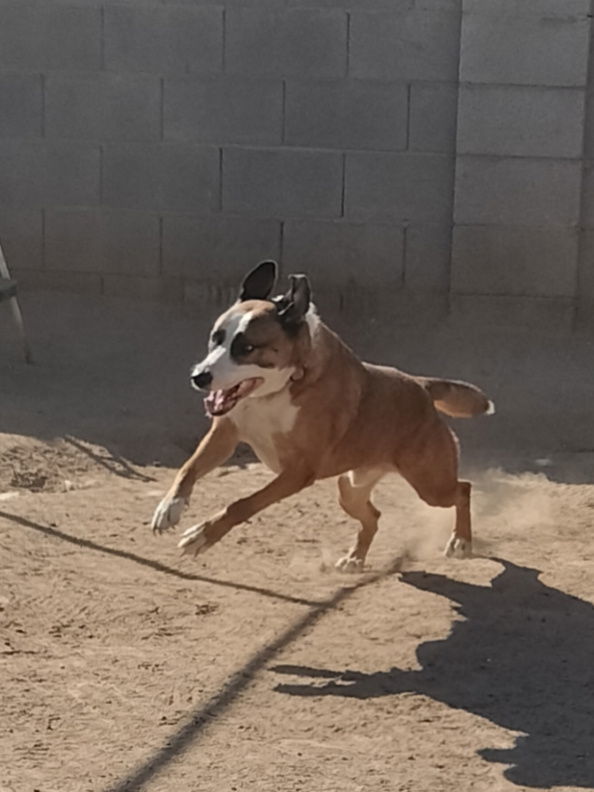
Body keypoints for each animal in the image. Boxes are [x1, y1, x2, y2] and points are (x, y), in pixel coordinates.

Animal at [150, 262, 492, 568]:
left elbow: (242, 504)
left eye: (247, 348)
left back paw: (461, 541)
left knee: (463, 489)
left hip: (430, 484)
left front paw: (202, 535)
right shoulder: (225, 434)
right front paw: (170, 507)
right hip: (351, 489)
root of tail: (421, 386)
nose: (199, 376)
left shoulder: (297, 472)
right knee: (373, 516)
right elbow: (188, 468)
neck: (278, 390)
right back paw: (355, 558)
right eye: (216, 337)